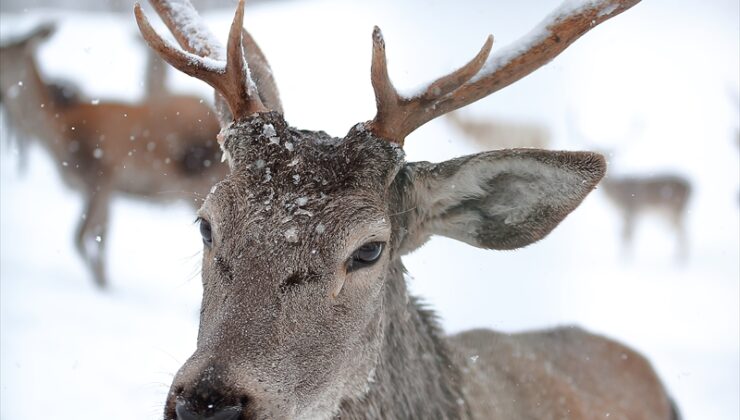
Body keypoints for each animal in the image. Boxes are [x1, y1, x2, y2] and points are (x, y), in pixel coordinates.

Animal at [0, 21, 225, 288]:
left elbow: (83, 236)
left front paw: (102, 285)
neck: (58, 136)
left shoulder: (99, 177)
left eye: (3, 52)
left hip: (199, 178)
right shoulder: (106, 188)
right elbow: (97, 234)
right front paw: (103, 280)